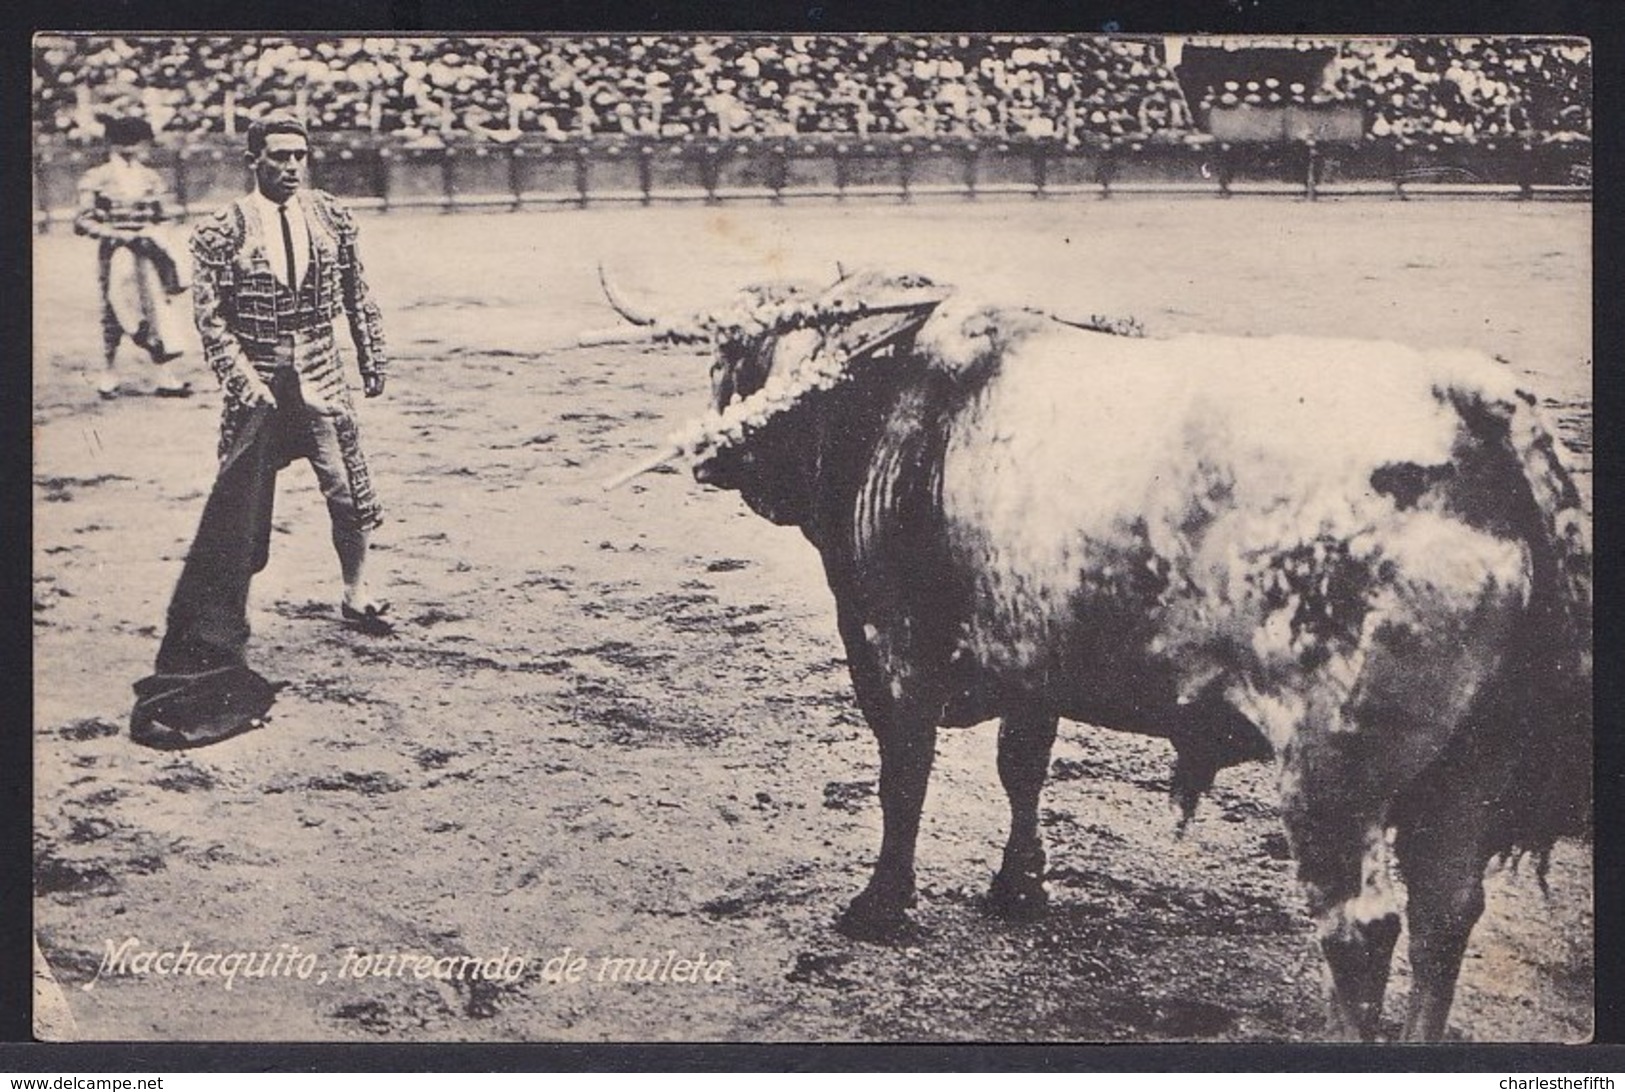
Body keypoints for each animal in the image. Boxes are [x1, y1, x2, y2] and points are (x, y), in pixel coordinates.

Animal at [594, 266, 1586, 1040]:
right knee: (1446, 914)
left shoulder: (890, 642)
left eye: (732, 362)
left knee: (1363, 930)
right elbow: (1021, 766)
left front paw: (881, 905)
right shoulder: (1035, 658)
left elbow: (902, 773)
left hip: (1334, 774)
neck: (892, 398)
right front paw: (1018, 887)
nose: (711, 462)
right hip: (1469, 763)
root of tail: (1464, 405)